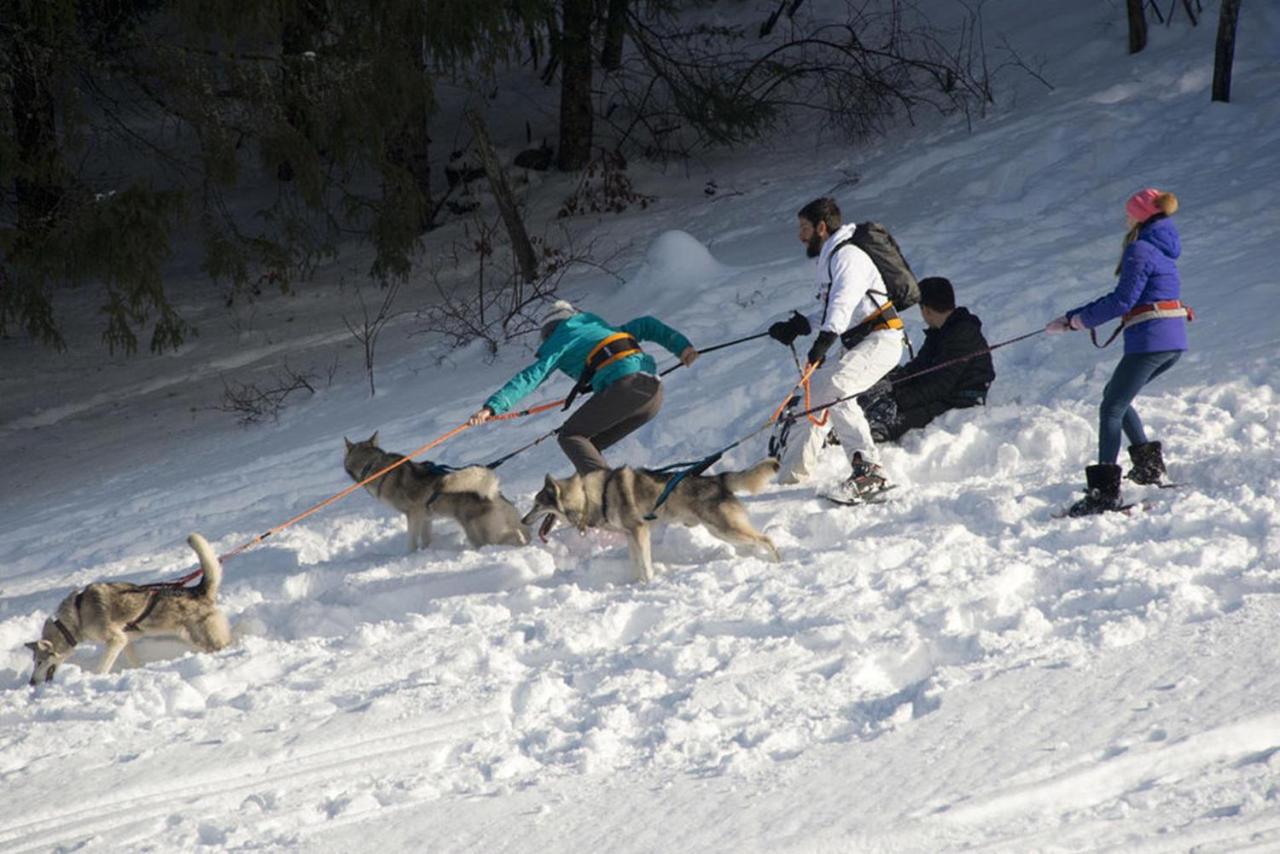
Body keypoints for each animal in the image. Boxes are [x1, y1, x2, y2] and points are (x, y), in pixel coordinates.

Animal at [26, 530, 232, 686]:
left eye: (39, 662)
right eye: (34, 662)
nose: (31, 683)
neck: (77, 614)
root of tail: (199, 590)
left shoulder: (115, 640)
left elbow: (102, 667)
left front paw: (96, 677)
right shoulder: (125, 639)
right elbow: (133, 659)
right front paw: (137, 670)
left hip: (205, 638)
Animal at [343, 430, 527, 550]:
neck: (373, 466)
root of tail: (493, 494)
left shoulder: (414, 515)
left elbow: (411, 542)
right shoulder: (426, 519)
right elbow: (426, 540)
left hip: (482, 536)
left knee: (511, 537)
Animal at [519, 460, 778, 581]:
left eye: (537, 505)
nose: (522, 520)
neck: (590, 496)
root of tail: (719, 479)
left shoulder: (639, 531)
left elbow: (645, 563)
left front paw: (649, 582)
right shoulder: (630, 535)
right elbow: (636, 563)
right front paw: (636, 584)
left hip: (725, 529)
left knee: (767, 539)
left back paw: (776, 561)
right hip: (722, 530)